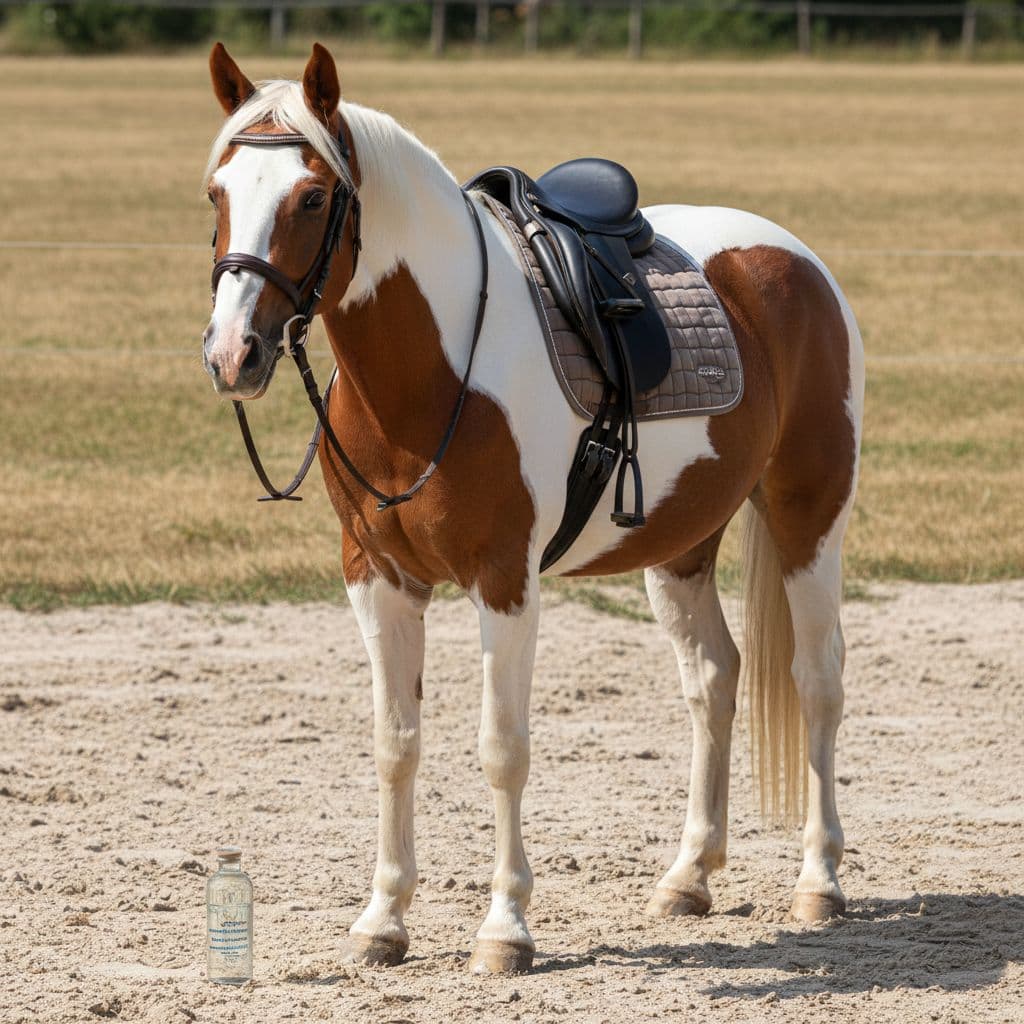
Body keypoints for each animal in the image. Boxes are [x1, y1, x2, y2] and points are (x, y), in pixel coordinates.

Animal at [201, 42, 864, 975]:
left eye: (313, 197)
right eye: (217, 193)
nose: (234, 354)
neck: (435, 371)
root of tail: (793, 260)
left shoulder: (504, 580)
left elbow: (502, 750)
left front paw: (505, 928)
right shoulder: (377, 578)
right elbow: (395, 744)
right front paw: (383, 920)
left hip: (810, 512)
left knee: (817, 680)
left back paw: (818, 881)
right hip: (682, 541)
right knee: (712, 680)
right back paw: (688, 877)